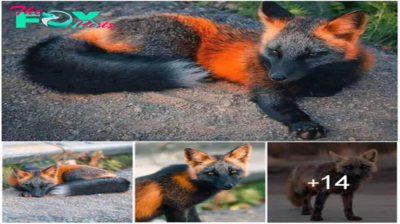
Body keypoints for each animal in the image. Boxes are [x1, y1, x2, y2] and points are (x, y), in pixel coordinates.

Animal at [24, 1, 376, 139]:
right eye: (275, 52)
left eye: (311, 54)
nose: (278, 75)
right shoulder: (263, 87)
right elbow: (285, 106)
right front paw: (304, 123)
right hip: (176, 44)